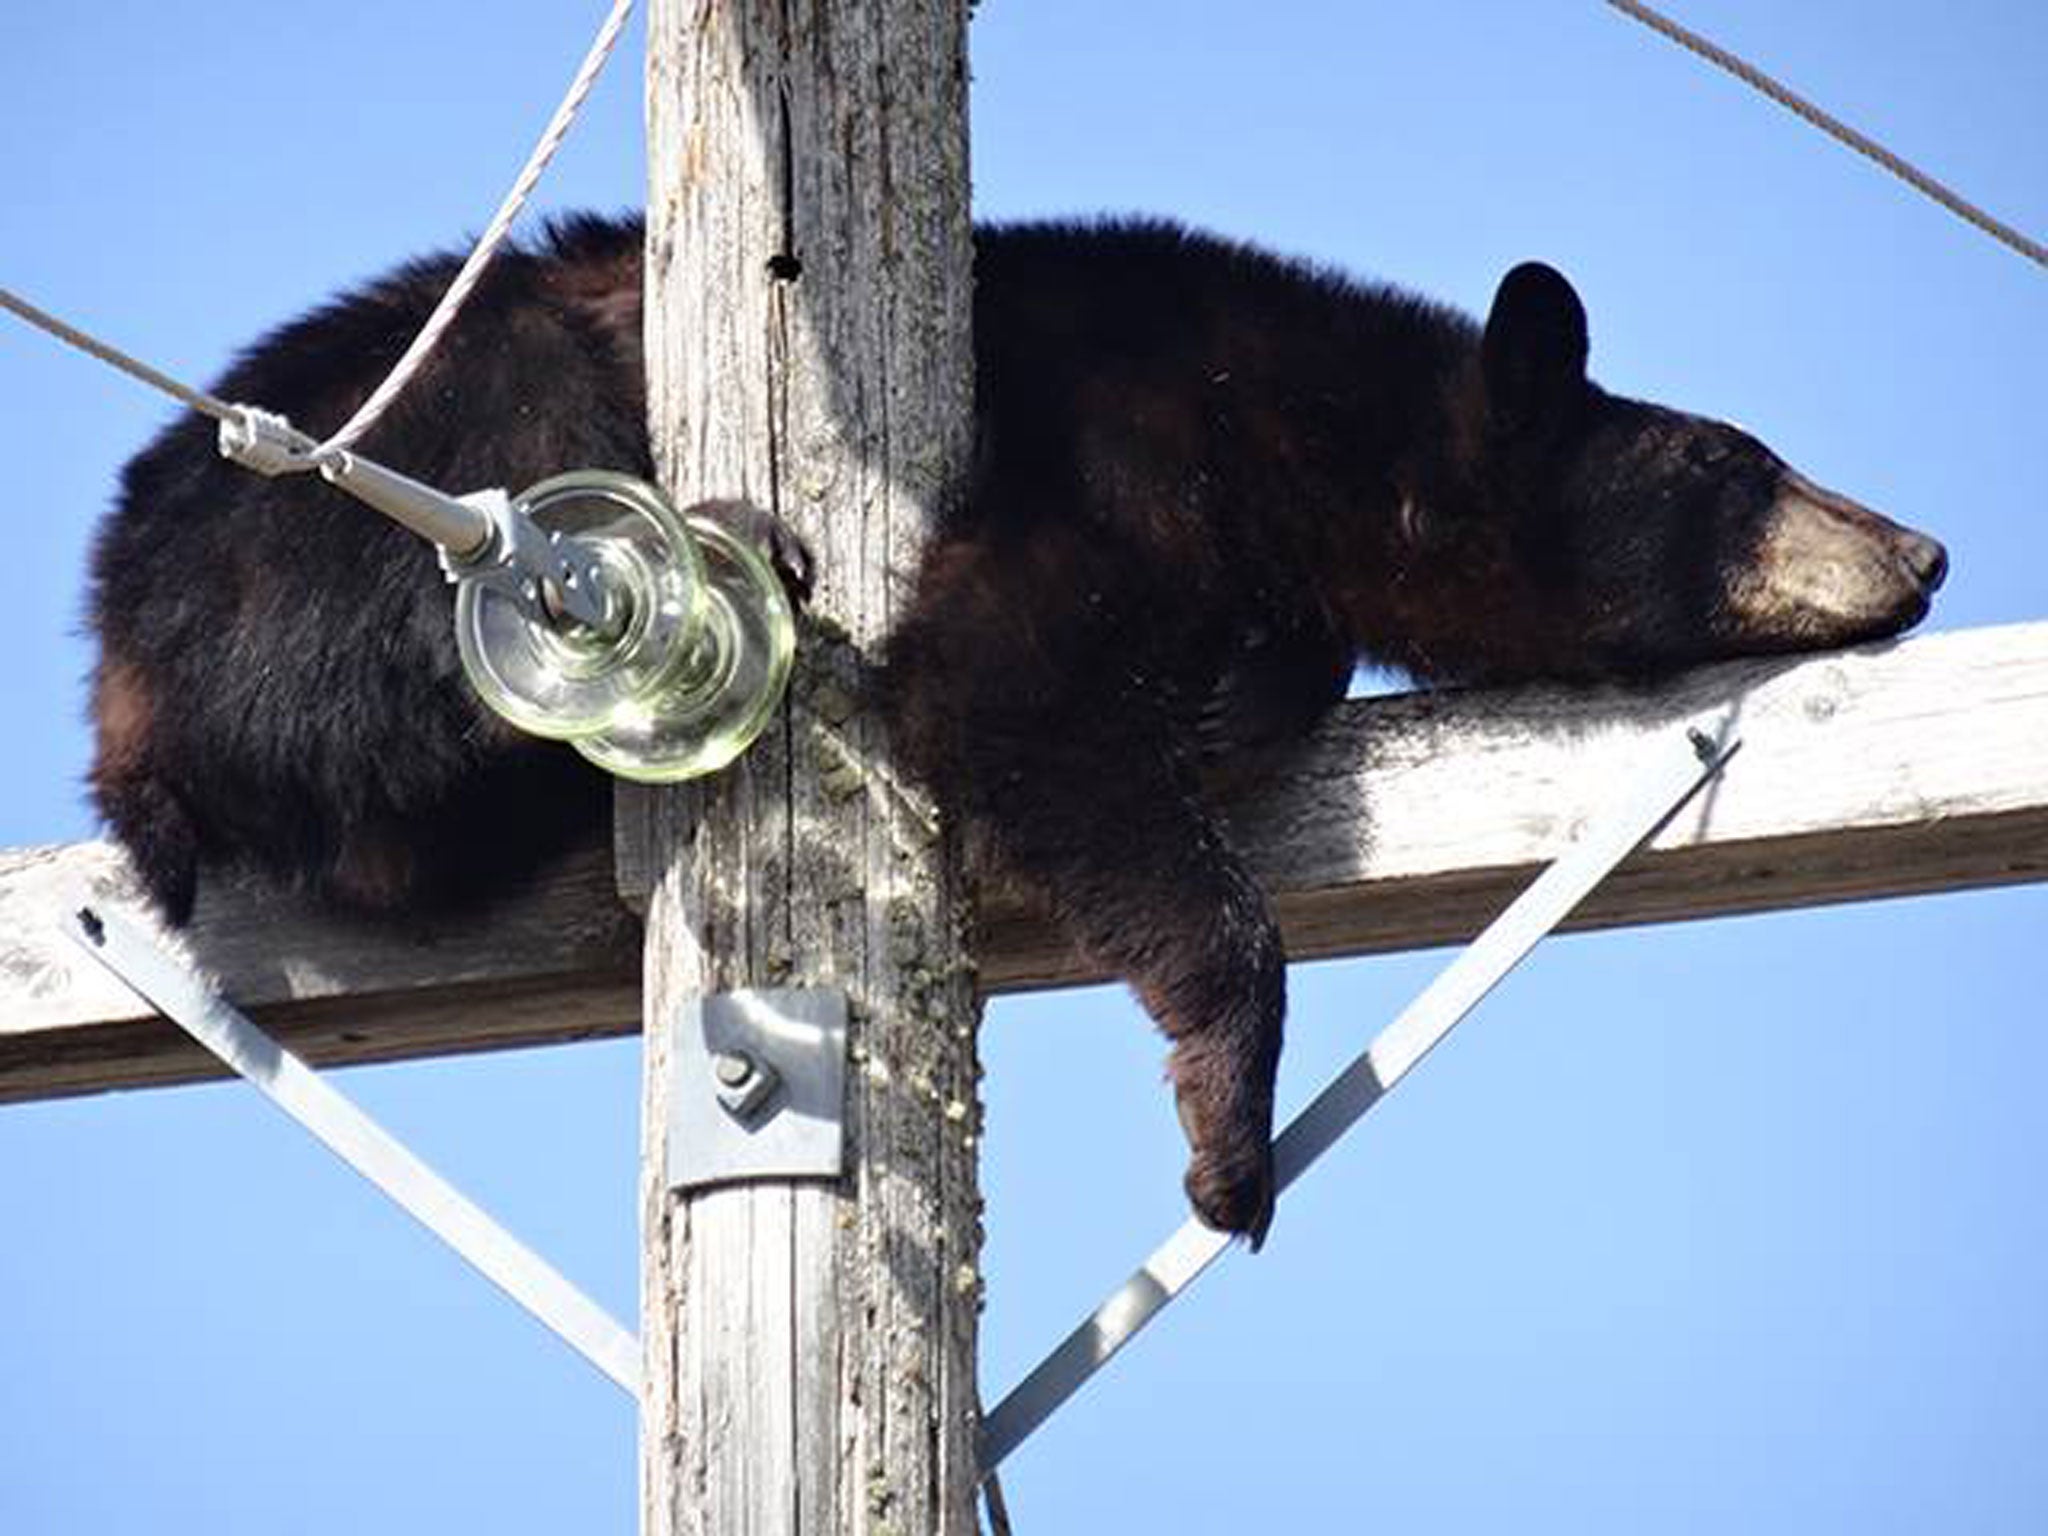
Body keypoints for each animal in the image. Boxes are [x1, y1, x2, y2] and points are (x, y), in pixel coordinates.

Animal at [88, 214, 1941, 1253]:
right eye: (1731, 466)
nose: (1924, 550)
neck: (1300, 422)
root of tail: (108, 668)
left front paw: (1249, 685)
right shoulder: (1107, 446)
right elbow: (1010, 696)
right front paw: (1226, 1131)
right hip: (338, 507)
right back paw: (719, 542)